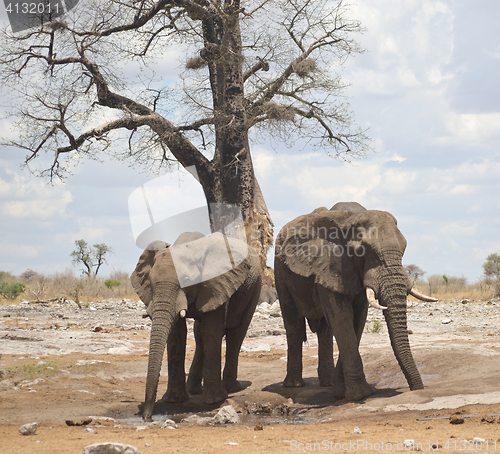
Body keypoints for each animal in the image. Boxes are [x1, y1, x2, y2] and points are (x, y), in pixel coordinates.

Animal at [131, 231, 262, 422]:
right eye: (152, 282)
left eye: (186, 280)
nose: (147, 417)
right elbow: (177, 333)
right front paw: (174, 400)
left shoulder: (218, 284)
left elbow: (212, 331)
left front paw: (214, 400)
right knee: (200, 337)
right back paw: (193, 390)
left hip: (254, 287)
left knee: (236, 333)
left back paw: (230, 388)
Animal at [274, 201, 438, 400]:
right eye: (362, 251)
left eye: (404, 248)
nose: (417, 389)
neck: (350, 218)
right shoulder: (329, 266)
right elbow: (341, 318)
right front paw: (360, 394)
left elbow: (357, 320)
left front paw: (341, 391)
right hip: (280, 273)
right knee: (294, 325)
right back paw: (294, 385)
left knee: (325, 330)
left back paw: (328, 383)